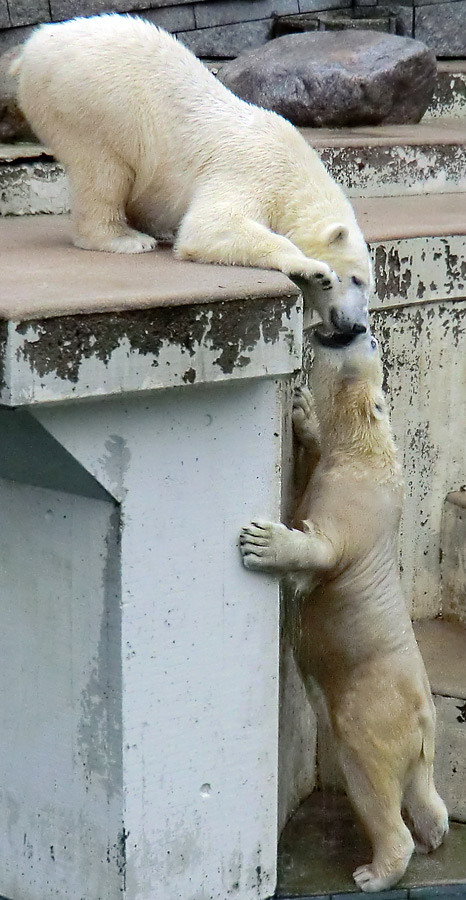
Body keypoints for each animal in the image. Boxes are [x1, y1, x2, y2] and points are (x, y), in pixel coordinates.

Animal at [14, 13, 372, 338]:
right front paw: (313, 269)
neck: (294, 170)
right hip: (92, 101)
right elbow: (210, 226)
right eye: (355, 279)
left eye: (368, 287)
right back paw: (125, 238)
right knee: (103, 170)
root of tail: (30, 47)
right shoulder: (253, 170)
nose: (358, 326)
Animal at [240, 326, 448, 888]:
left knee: (370, 779)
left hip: (372, 712)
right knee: (423, 790)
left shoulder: (353, 502)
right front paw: (303, 410)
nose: (360, 329)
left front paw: (263, 541)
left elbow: (323, 547)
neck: (370, 448)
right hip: (415, 737)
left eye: (371, 344)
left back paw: (376, 871)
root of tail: (425, 717)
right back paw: (435, 833)